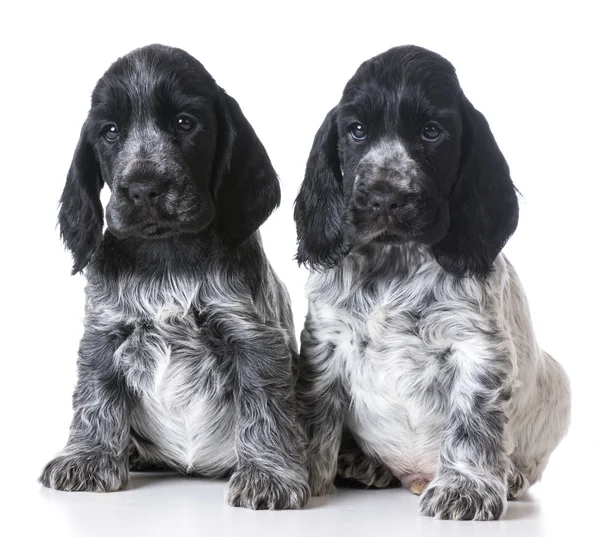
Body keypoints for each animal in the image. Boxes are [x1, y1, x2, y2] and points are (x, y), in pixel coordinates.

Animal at [39, 44, 310, 508]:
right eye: (110, 131)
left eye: (185, 123)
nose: (144, 188)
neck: (167, 256)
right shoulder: (103, 336)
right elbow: (94, 398)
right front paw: (87, 458)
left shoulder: (254, 337)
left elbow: (266, 407)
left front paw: (269, 476)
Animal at [296, 46, 572, 520]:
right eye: (356, 131)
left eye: (431, 132)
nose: (384, 198)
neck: (395, 262)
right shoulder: (325, 342)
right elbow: (316, 415)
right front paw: (306, 476)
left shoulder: (477, 347)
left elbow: (472, 422)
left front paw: (466, 489)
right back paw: (362, 466)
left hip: (559, 382)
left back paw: (510, 478)